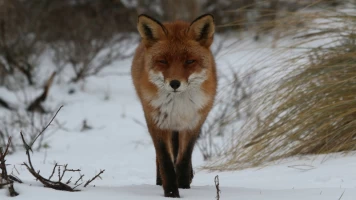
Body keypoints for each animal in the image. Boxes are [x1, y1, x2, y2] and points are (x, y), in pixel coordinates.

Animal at [131, 14, 217, 198]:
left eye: (190, 61)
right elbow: (165, 160)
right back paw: (159, 181)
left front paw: (183, 185)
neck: (178, 106)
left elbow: (184, 158)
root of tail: (175, 21)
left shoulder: (194, 122)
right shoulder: (156, 122)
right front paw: (171, 192)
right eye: (163, 61)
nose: (175, 83)